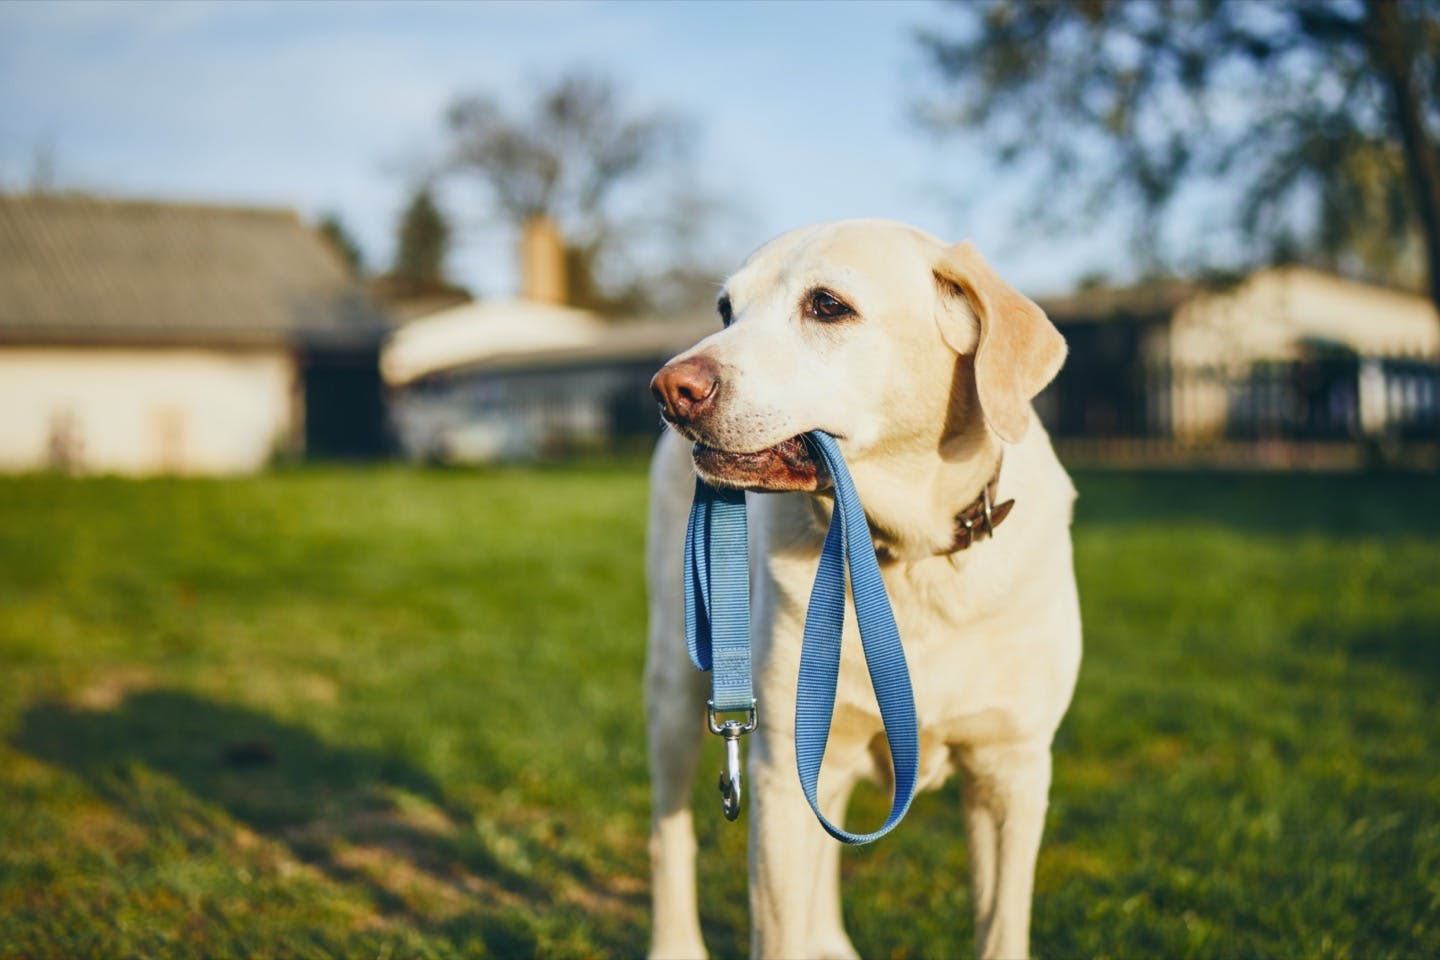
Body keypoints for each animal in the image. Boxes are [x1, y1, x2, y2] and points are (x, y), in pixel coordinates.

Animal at [645, 221, 1082, 955]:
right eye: (726, 310)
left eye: (827, 306)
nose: (669, 388)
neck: (907, 560)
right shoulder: (778, 770)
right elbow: (777, 930)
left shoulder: (1012, 768)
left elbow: (1001, 929)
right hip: (678, 687)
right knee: (669, 835)